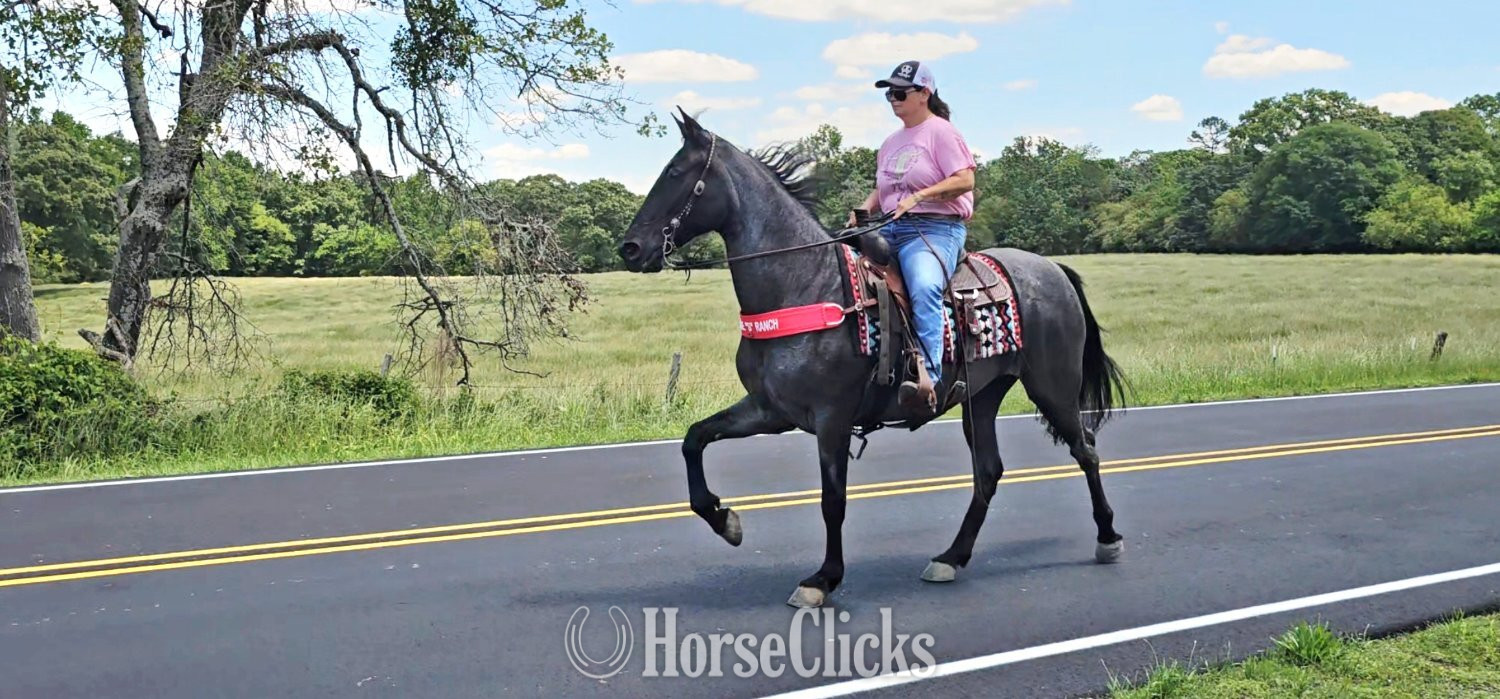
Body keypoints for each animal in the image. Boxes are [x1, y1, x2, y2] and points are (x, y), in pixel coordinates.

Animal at [616, 108, 1128, 608]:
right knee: (989, 470)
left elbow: (833, 499)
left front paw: (822, 580)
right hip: (982, 396)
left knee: (1085, 448)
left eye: (675, 172)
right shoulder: (769, 410)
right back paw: (951, 558)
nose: (630, 248)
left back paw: (1107, 537)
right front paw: (724, 520)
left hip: (1052, 386)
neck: (805, 280)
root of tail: (1051, 268)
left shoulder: (832, 417)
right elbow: (694, 439)